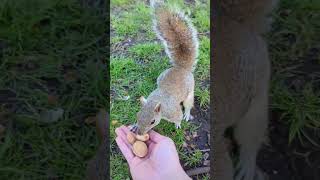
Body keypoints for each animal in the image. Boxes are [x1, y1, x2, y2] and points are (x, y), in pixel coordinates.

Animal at [132, 0, 198, 135]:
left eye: (152, 121)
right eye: (137, 115)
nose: (140, 133)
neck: (157, 101)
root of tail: (181, 68)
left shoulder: (173, 111)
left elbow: (178, 117)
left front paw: (178, 124)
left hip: (190, 91)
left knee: (188, 104)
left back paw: (187, 114)